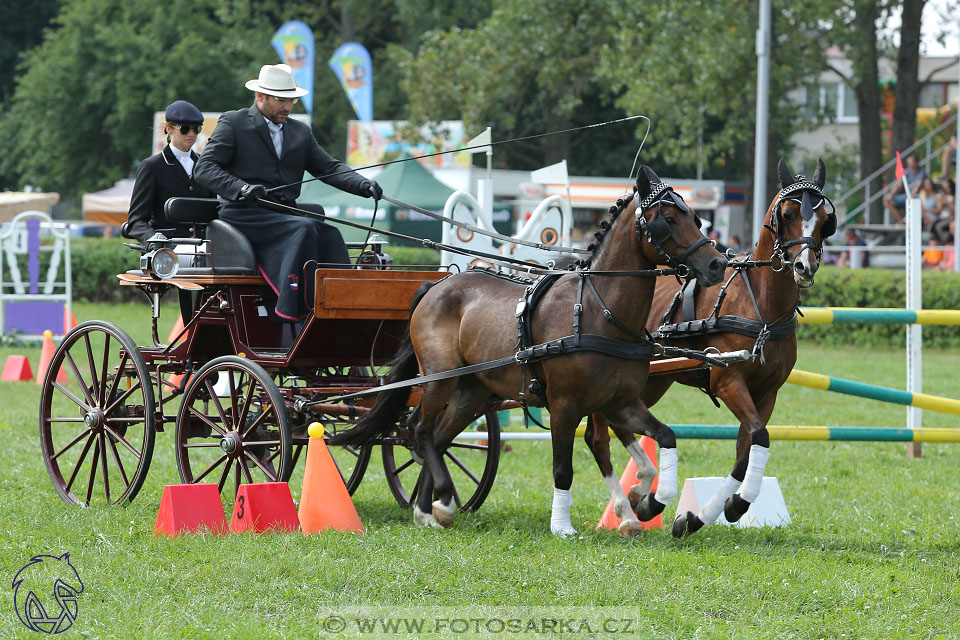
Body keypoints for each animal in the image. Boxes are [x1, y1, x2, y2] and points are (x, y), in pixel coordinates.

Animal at [330, 165, 728, 536]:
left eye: (696, 218)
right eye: (668, 220)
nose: (717, 264)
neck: (599, 311)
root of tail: (437, 284)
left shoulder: (621, 402)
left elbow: (663, 440)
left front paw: (648, 503)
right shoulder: (564, 405)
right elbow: (563, 467)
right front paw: (563, 526)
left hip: (471, 390)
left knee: (439, 437)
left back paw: (430, 510)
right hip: (438, 378)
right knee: (419, 431)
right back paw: (440, 500)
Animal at [580, 158, 836, 536]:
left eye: (824, 219)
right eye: (788, 213)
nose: (805, 266)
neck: (761, 305)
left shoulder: (767, 393)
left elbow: (747, 449)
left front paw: (705, 514)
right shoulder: (728, 382)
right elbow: (759, 435)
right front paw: (733, 505)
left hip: (650, 383)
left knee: (621, 425)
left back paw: (641, 493)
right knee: (598, 437)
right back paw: (628, 513)